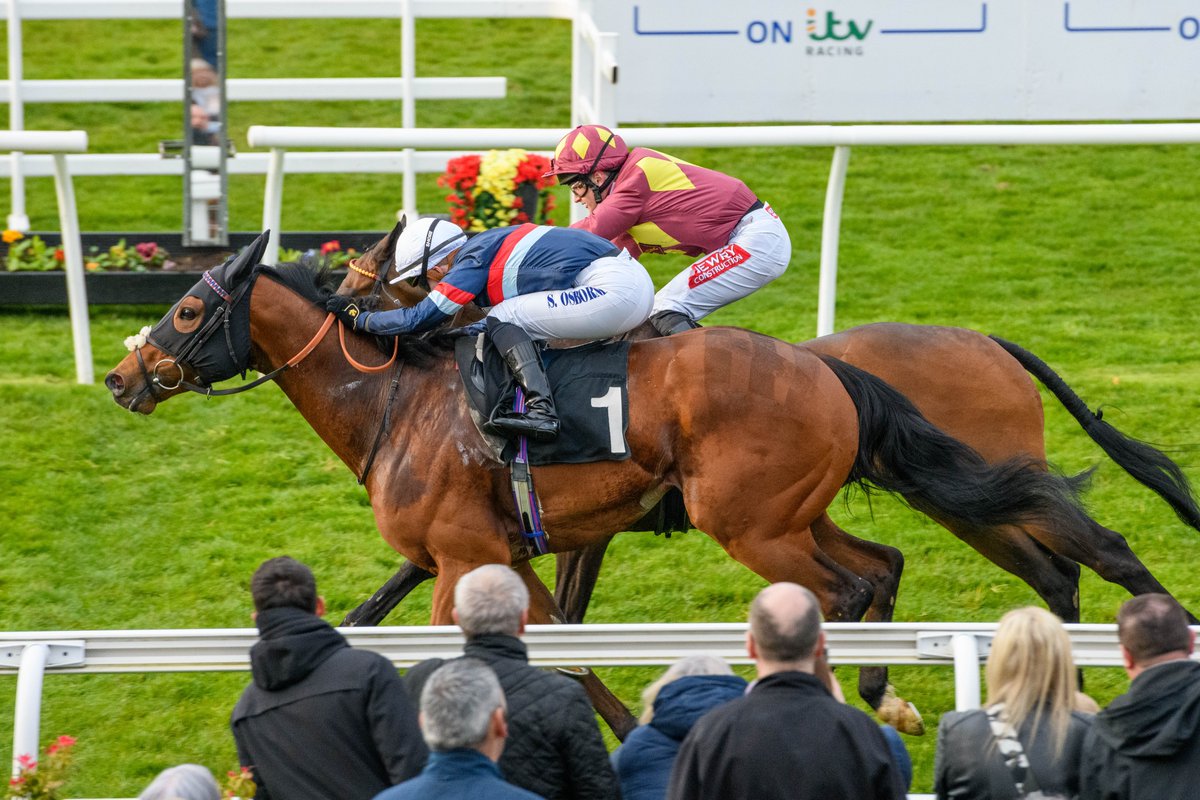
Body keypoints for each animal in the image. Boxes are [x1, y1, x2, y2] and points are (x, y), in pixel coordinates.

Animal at [108, 236, 1185, 738]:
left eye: (191, 309)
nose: (123, 376)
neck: (399, 397)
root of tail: (829, 372)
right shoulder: (508, 548)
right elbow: (556, 643)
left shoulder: (465, 552)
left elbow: (496, 644)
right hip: (812, 510)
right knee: (895, 568)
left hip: (755, 519)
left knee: (890, 584)